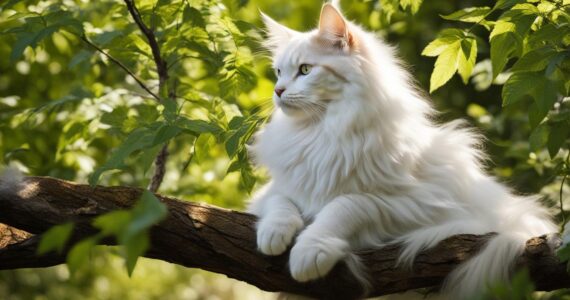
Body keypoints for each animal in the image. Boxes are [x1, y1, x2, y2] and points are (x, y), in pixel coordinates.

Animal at [245, 1, 556, 298]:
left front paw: (310, 251)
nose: (278, 91)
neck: (322, 132)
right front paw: (273, 234)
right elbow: (281, 204)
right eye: (278, 73)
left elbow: (345, 205)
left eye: (305, 70)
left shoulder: (413, 203)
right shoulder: (277, 188)